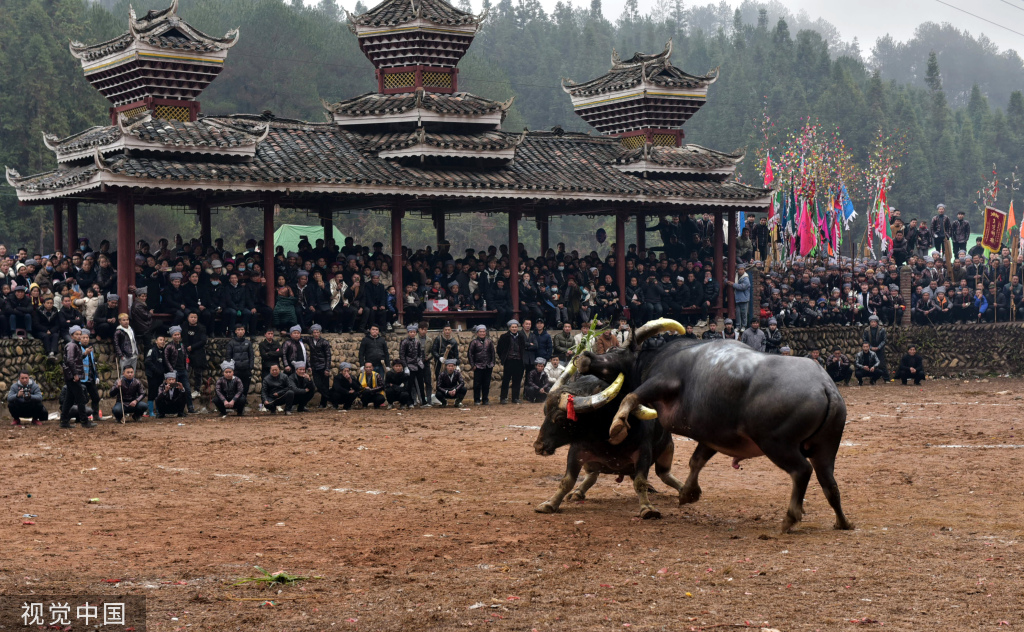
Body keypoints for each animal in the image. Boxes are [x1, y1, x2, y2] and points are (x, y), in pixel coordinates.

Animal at [532, 374, 684, 518]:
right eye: (545, 412)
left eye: (559, 418)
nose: (538, 446)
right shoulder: (576, 451)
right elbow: (567, 481)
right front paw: (550, 504)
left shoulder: (643, 453)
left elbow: (640, 482)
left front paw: (647, 508)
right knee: (592, 475)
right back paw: (578, 492)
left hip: (668, 449)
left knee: (664, 474)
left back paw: (684, 490)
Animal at [573, 315, 851, 532]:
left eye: (612, 352)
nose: (584, 356)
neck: (664, 355)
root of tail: (825, 387)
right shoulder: (712, 435)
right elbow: (696, 461)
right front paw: (688, 493)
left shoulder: (661, 382)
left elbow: (631, 396)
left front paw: (618, 426)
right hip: (826, 447)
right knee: (829, 482)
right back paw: (842, 522)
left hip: (777, 444)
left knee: (802, 471)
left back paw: (791, 518)